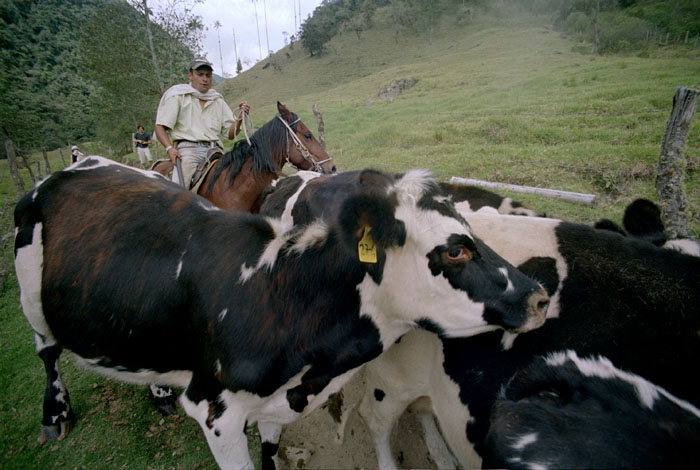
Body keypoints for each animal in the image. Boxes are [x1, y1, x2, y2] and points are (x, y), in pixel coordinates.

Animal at [12, 159, 548, 470]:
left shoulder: (274, 407)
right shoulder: (215, 412)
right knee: (46, 352)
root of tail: (68, 167)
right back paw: (53, 414)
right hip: (30, 297)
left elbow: (270, 452)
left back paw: (158, 391)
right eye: (456, 250)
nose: (540, 296)